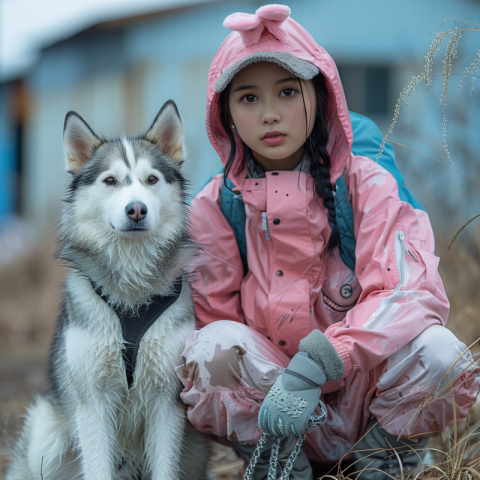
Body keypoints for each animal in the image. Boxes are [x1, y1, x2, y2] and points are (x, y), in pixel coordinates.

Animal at [7, 100, 209, 480]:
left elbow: (164, 466)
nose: (136, 209)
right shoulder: (93, 402)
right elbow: (97, 464)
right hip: (46, 433)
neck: (131, 288)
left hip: (193, 448)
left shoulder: (165, 399)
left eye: (151, 180)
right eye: (111, 181)